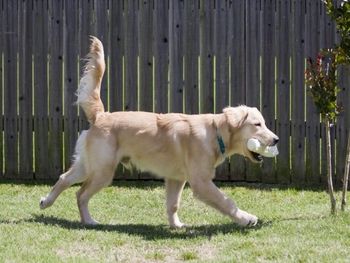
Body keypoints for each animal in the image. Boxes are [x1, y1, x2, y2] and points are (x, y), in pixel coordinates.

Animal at [39, 37, 278, 229]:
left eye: (265, 123)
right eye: (257, 124)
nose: (276, 139)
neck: (215, 132)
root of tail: (101, 115)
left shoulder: (176, 178)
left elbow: (173, 205)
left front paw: (176, 225)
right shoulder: (201, 182)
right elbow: (226, 201)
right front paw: (246, 218)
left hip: (89, 165)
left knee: (64, 178)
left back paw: (46, 202)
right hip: (102, 171)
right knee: (80, 194)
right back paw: (88, 220)